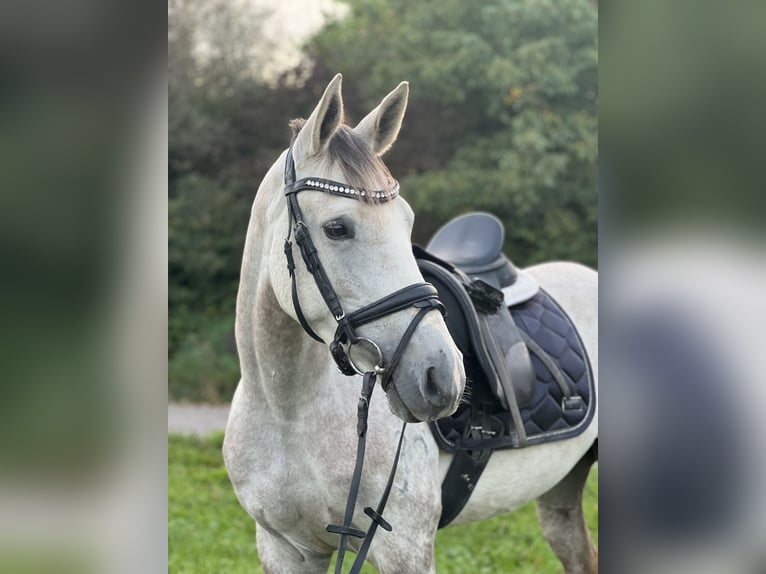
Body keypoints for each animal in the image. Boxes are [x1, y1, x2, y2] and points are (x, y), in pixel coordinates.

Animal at [224, 74, 600, 572]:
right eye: (337, 228)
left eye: (407, 222)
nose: (442, 375)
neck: (287, 413)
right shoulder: (284, 548)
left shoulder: (404, 546)